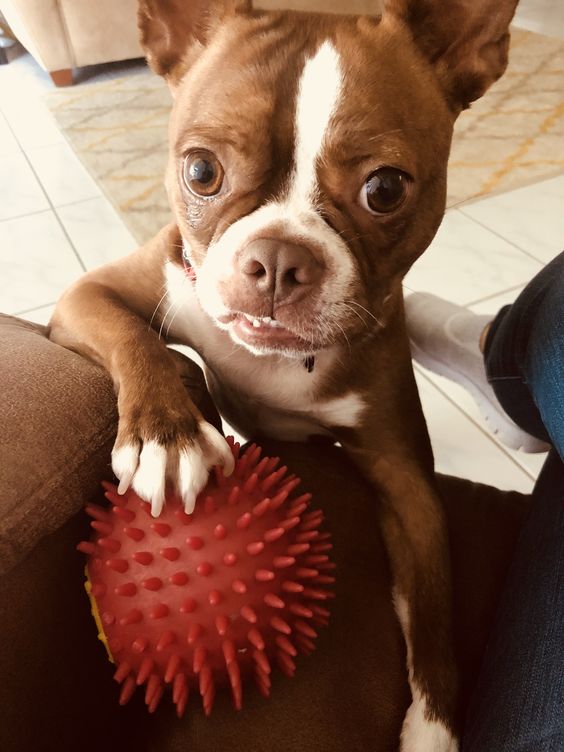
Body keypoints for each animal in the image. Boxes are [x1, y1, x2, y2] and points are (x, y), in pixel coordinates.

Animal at [50, 2, 516, 748]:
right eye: (201, 171)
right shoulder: (93, 294)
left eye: (385, 189)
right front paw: (168, 437)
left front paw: (433, 727)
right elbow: (135, 338)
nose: (276, 258)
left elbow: (433, 610)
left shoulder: (408, 484)